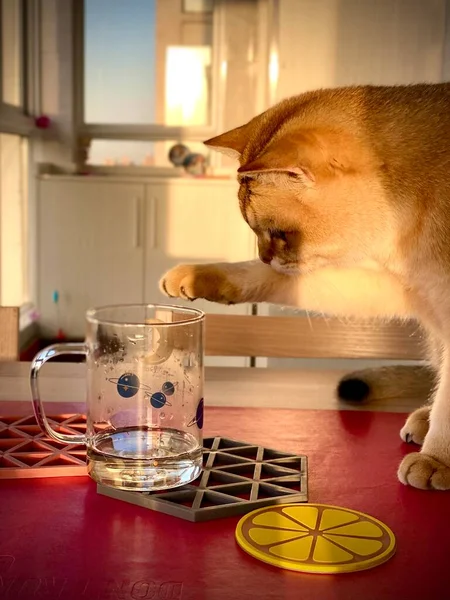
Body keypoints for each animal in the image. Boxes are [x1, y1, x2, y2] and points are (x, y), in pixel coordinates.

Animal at [159, 82, 450, 490]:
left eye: (278, 232)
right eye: (254, 231)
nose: (265, 256)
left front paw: (437, 459)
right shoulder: (398, 288)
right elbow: (260, 278)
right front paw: (196, 276)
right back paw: (422, 418)